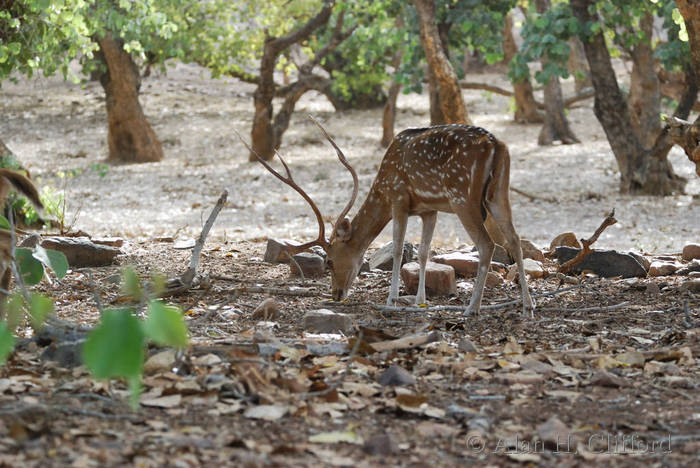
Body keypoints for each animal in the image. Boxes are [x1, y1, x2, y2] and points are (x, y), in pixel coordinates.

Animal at [241, 119, 536, 316]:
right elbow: (424, 252)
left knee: (488, 244)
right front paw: (419, 301)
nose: (336, 294)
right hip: (499, 193)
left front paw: (391, 300)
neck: (381, 188)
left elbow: (397, 249)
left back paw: (472, 308)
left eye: (330, 261)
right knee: (514, 238)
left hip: (463, 196)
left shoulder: (398, 199)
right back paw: (527, 305)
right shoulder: (429, 209)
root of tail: (496, 145)